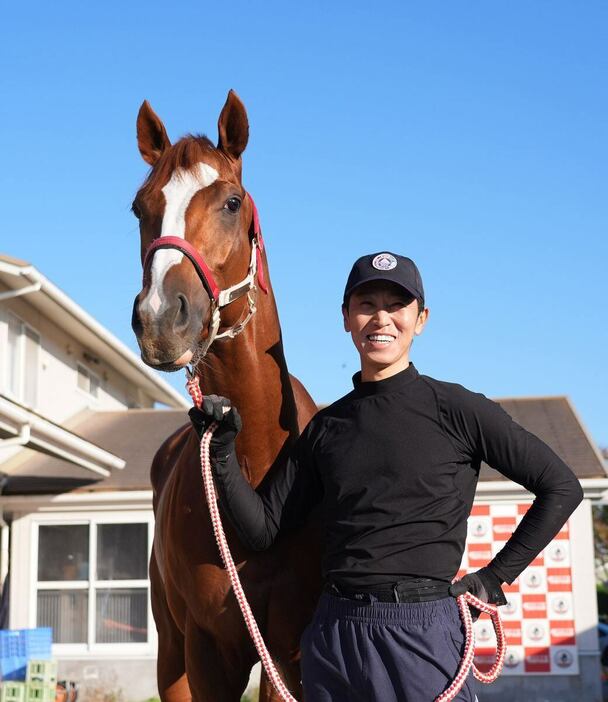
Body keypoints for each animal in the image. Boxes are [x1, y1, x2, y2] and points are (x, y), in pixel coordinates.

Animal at [132, 93, 320, 702]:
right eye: (140, 209)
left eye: (231, 203)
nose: (160, 318)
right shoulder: (209, 650)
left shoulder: (289, 655)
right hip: (172, 653)